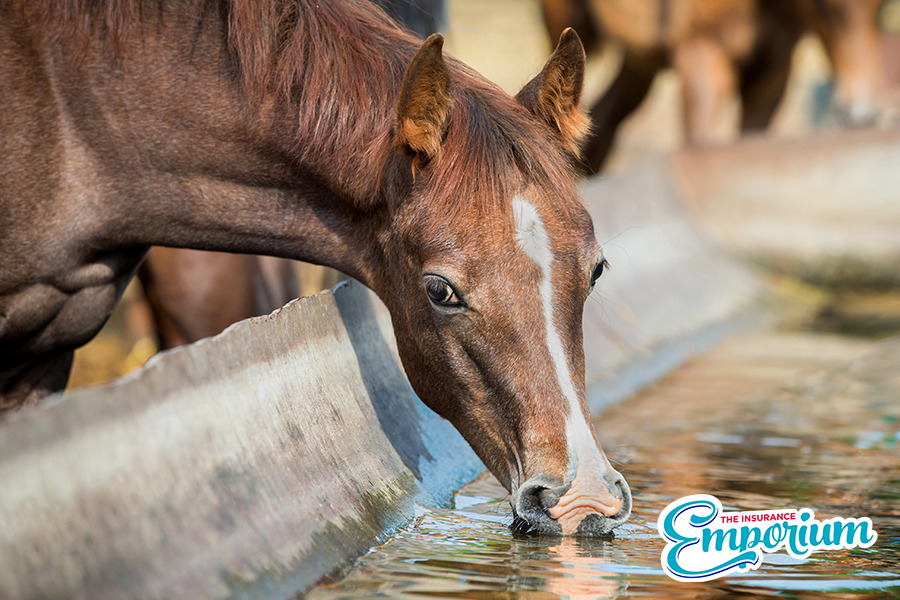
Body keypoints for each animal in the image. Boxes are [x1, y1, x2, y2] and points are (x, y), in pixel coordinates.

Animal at [540, 0, 888, 171]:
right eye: (821, 7)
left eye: (882, 8)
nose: (861, 114)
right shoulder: (700, 54)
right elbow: (701, 146)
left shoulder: (774, 68)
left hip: (641, 61)